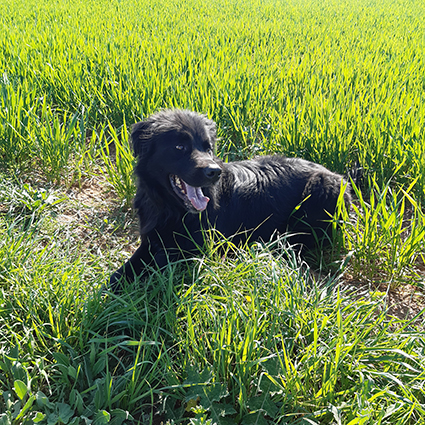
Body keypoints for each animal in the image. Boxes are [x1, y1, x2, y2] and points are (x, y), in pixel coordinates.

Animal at [109, 107, 352, 290]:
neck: (170, 208)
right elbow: (118, 274)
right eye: (179, 146)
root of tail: (341, 179)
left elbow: (156, 264)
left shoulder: (195, 252)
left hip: (319, 191)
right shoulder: (151, 239)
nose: (214, 171)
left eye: (207, 147)